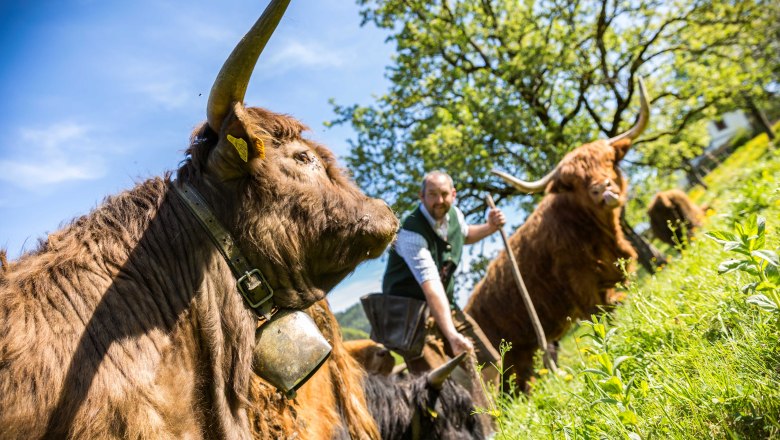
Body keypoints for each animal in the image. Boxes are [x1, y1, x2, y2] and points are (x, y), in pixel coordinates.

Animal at [464, 80, 652, 392]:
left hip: (521, 352)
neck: (599, 235)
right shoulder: (582, 286)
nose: (603, 189)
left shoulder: (620, 271)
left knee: (522, 381)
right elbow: (603, 318)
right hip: (496, 362)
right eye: (573, 182)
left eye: (608, 160)